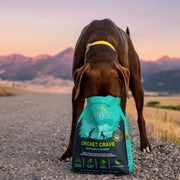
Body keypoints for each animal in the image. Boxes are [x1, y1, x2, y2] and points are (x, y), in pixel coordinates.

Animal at [60, 19, 152, 161]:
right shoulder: (78, 90)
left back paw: (145, 144)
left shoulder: (122, 91)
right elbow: (75, 122)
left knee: (140, 116)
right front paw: (70, 152)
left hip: (137, 84)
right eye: (92, 101)